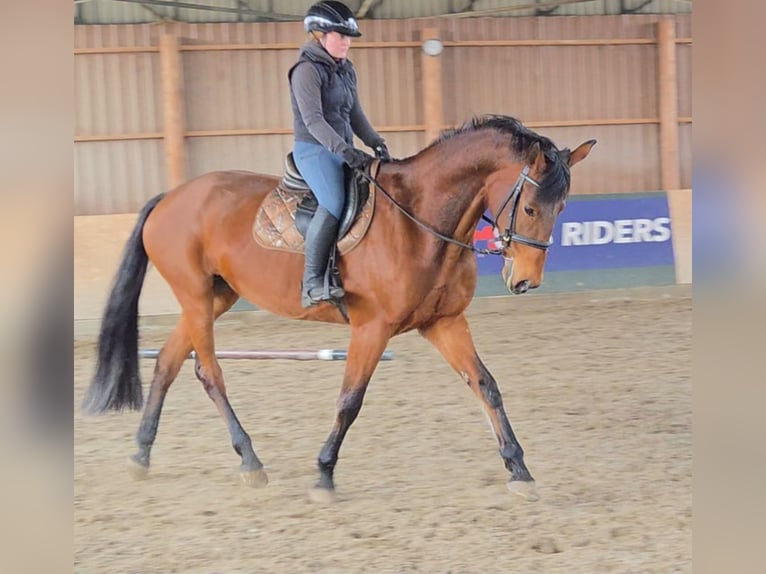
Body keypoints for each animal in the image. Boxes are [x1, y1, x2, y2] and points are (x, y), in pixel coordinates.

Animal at [82, 115, 595, 503]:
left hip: (213, 298)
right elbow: (350, 400)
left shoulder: (443, 322)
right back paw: (249, 461)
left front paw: (519, 470)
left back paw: (141, 454)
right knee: (208, 372)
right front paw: (324, 475)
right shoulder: (372, 328)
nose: (525, 281)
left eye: (562, 208)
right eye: (530, 208)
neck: (419, 222)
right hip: (193, 296)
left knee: (168, 363)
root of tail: (169, 198)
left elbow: (486, 386)